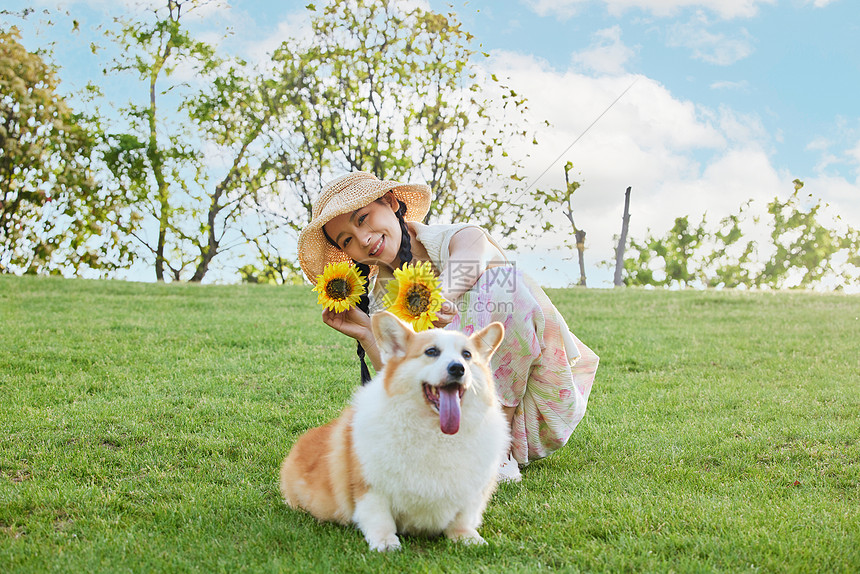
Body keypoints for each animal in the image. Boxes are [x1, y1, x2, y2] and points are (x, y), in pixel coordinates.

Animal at [280, 316, 510, 552]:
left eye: (467, 355)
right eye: (431, 352)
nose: (458, 368)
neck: (435, 431)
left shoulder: (472, 494)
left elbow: (462, 518)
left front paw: (467, 538)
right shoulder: (370, 488)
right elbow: (379, 518)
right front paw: (386, 543)